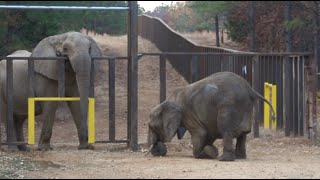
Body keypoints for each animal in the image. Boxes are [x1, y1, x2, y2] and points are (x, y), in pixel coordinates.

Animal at [148, 71, 276, 161]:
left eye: (152, 127)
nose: (156, 145)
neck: (168, 100)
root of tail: (251, 90)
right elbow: (209, 134)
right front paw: (211, 150)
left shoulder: (188, 115)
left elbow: (200, 134)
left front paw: (208, 152)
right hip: (246, 108)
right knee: (243, 135)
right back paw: (240, 157)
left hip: (229, 106)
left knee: (226, 130)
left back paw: (224, 159)